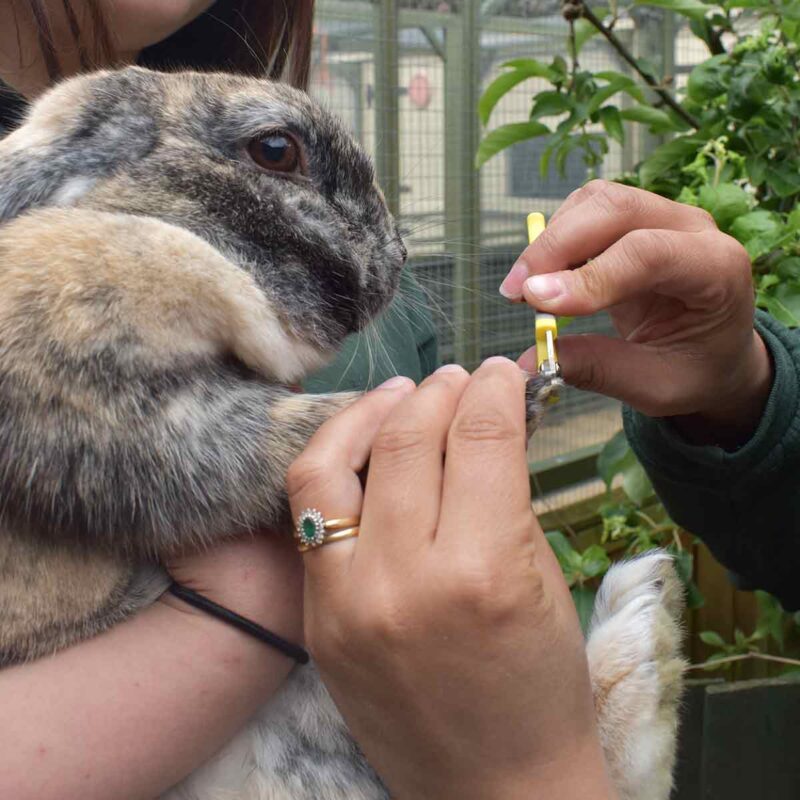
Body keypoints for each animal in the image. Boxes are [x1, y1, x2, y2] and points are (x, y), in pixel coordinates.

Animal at [0, 67, 686, 800]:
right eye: (276, 148)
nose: (402, 254)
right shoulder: (97, 394)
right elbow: (259, 433)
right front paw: (485, 398)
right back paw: (647, 626)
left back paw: (649, 621)